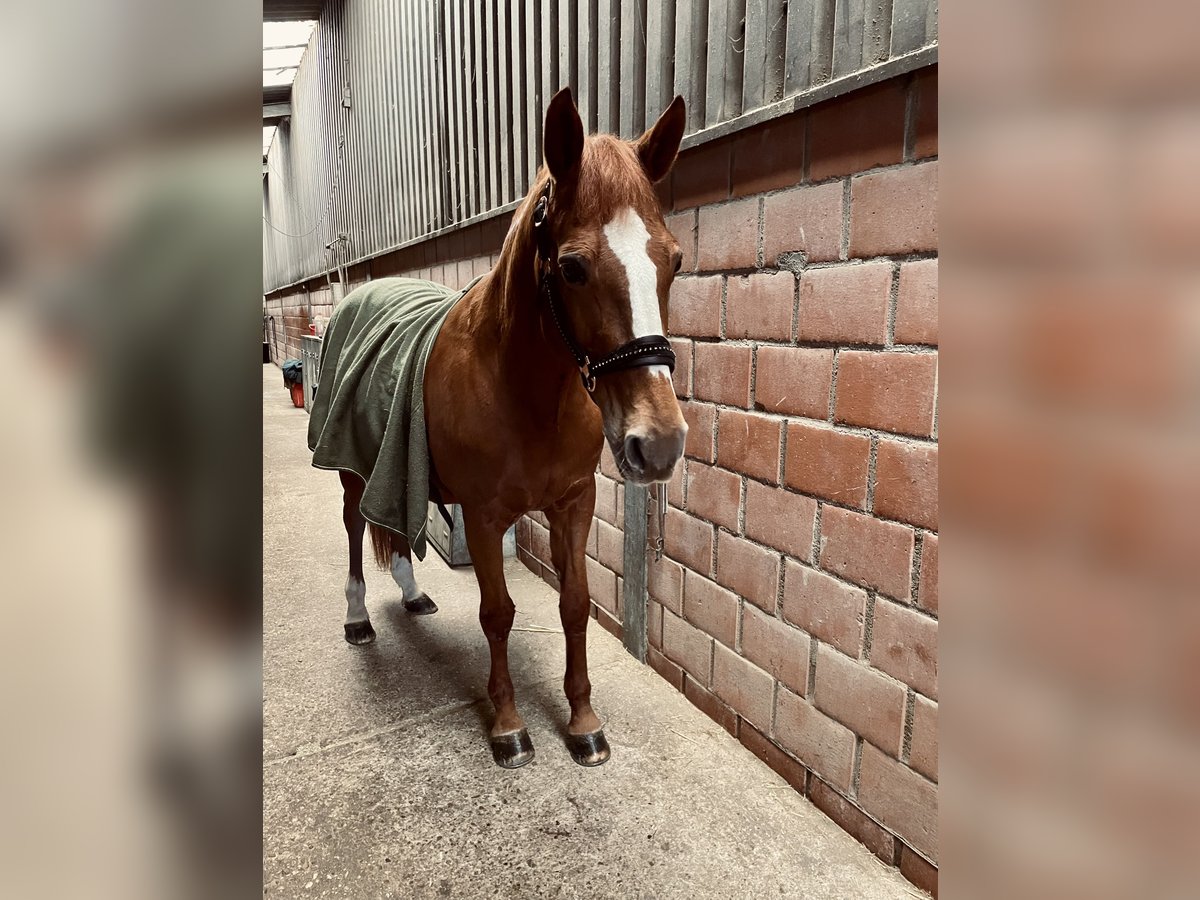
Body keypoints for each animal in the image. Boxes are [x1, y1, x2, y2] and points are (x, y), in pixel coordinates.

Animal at [343, 90, 691, 768]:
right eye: (573, 268)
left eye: (674, 260)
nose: (658, 444)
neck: (525, 395)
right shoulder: (483, 517)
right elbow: (497, 613)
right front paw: (508, 726)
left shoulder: (572, 503)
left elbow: (575, 605)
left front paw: (583, 724)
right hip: (347, 470)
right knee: (352, 530)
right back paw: (357, 620)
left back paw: (412, 595)